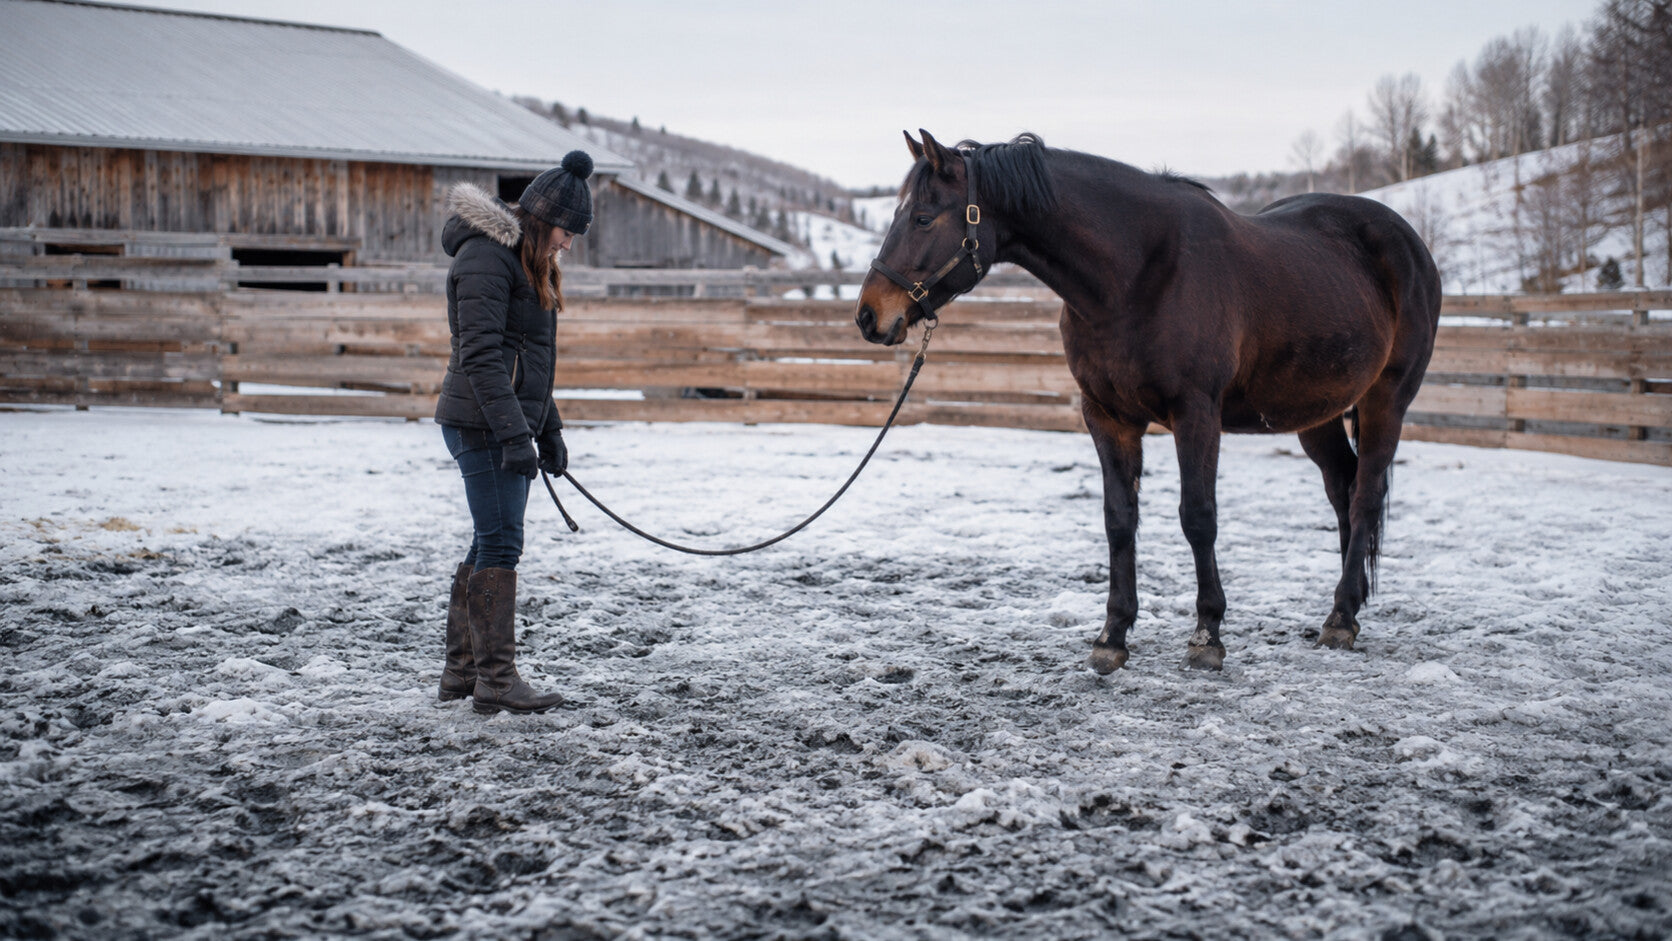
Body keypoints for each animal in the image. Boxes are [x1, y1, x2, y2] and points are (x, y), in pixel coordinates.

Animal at [856, 131, 1440, 673]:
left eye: (924, 218)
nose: (868, 315)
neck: (1136, 275)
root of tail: (1407, 243)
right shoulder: (1107, 417)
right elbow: (1119, 519)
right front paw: (1112, 636)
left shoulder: (1196, 413)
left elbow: (1198, 516)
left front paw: (1207, 635)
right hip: (1315, 411)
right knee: (1343, 489)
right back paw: (1348, 607)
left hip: (1386, 399)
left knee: (1365, 497)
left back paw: (1340, 618)